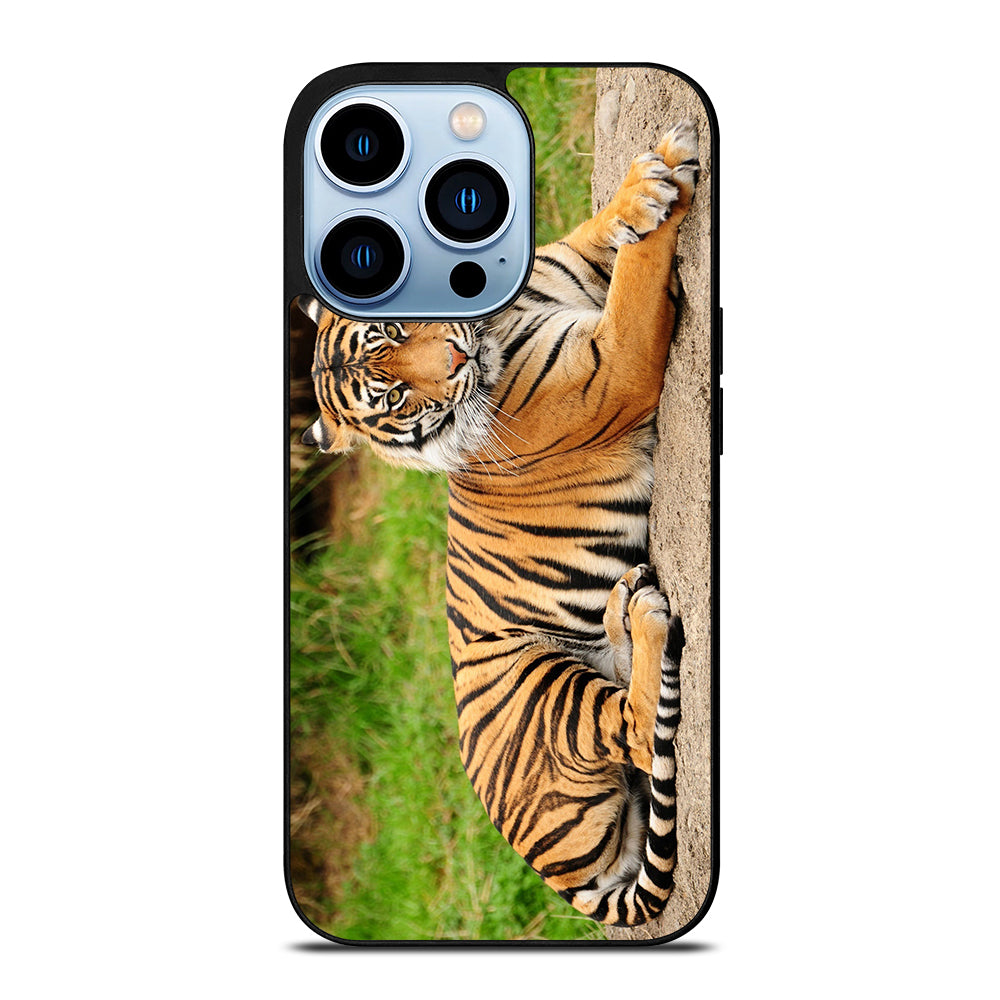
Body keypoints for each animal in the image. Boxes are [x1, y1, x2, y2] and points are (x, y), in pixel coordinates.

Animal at [298, 120, 700, 926]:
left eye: (394, 328)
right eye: (392, 396)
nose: (456, 357)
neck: (495, 317)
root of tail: (560, 877)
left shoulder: (572, 266)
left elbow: (604, 230)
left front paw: (646, 183)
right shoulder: (614, 366)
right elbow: (638, 277)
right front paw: (662, 184)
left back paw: (623, 606)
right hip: (539, 684)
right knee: (639, 731)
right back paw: (643, 616)